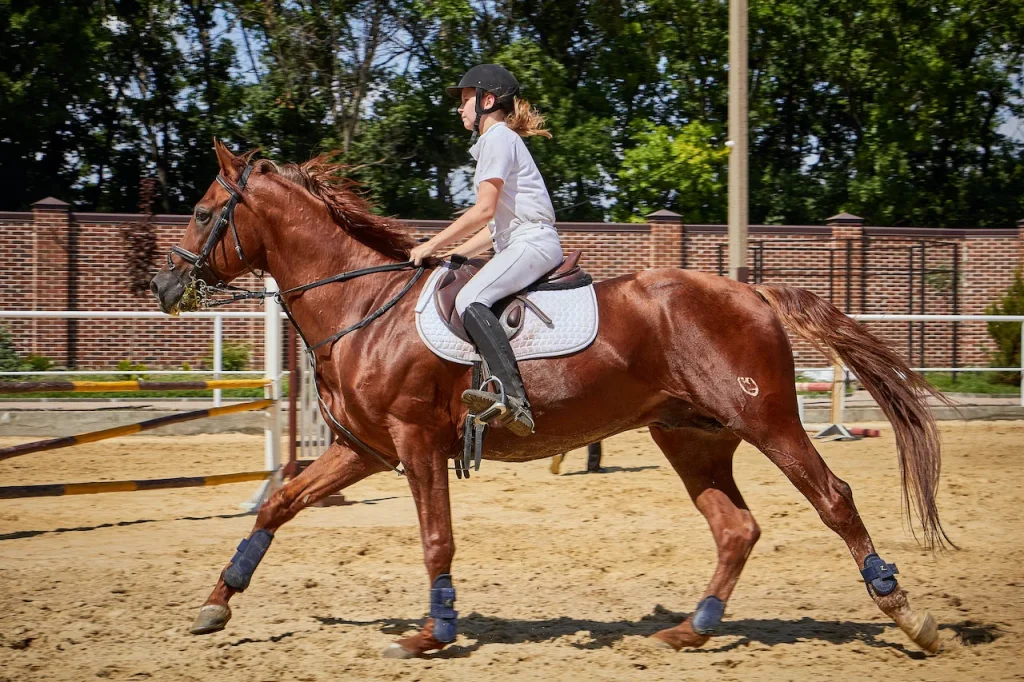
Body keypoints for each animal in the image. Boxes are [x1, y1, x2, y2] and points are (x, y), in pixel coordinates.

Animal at [150, 141, 952, 658]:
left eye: (202, 212)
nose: (163, 286)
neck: (363, 306)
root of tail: (748, 290)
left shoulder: (414, 444)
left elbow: (436, 538)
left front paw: (432, 633)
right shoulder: (365, 451)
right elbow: (279, 503)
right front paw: (218, 601)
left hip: (766, 419)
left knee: (834, 499)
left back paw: (907, 615)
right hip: (691, 436)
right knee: (735, 528)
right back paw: (692, 628)